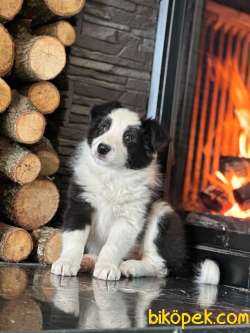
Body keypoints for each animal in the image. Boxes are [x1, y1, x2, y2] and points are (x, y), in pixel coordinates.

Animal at [51, 101, 220, 282]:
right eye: (104, 127)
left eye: (129, 138)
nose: (102, 148)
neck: (112, 174)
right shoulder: (80, 203)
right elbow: (74, 237)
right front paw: (67, 262)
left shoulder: (130, 217)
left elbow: (112, 245)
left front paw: (107, 267)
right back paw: (90, 259)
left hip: (162, 214)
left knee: (160, 266)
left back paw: (130, 266)